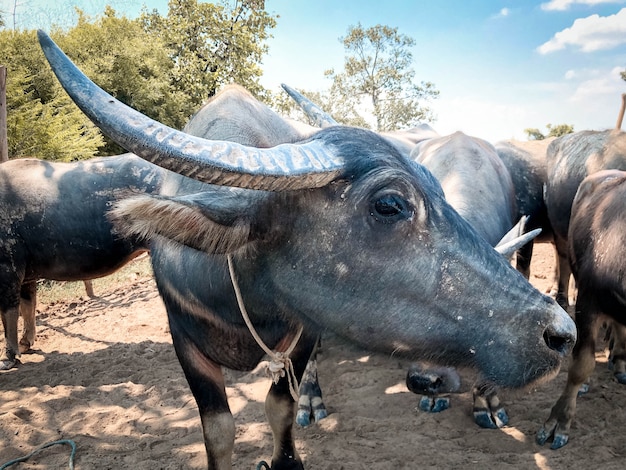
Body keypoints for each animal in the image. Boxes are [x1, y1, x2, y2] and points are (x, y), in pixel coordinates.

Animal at [0, 155, 163, 370]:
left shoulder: (8, 270)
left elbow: (8, 314)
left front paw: (8, 357)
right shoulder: (27, 275)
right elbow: (29, 306)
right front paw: (25, 343)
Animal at [39, 31, 576, 468]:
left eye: (437, 189)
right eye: (389, 204)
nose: (561, 332)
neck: (239, 294)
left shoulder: (303, 332)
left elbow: (280, 406)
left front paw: (288, 457)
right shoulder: (183, 339)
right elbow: (218, 429)